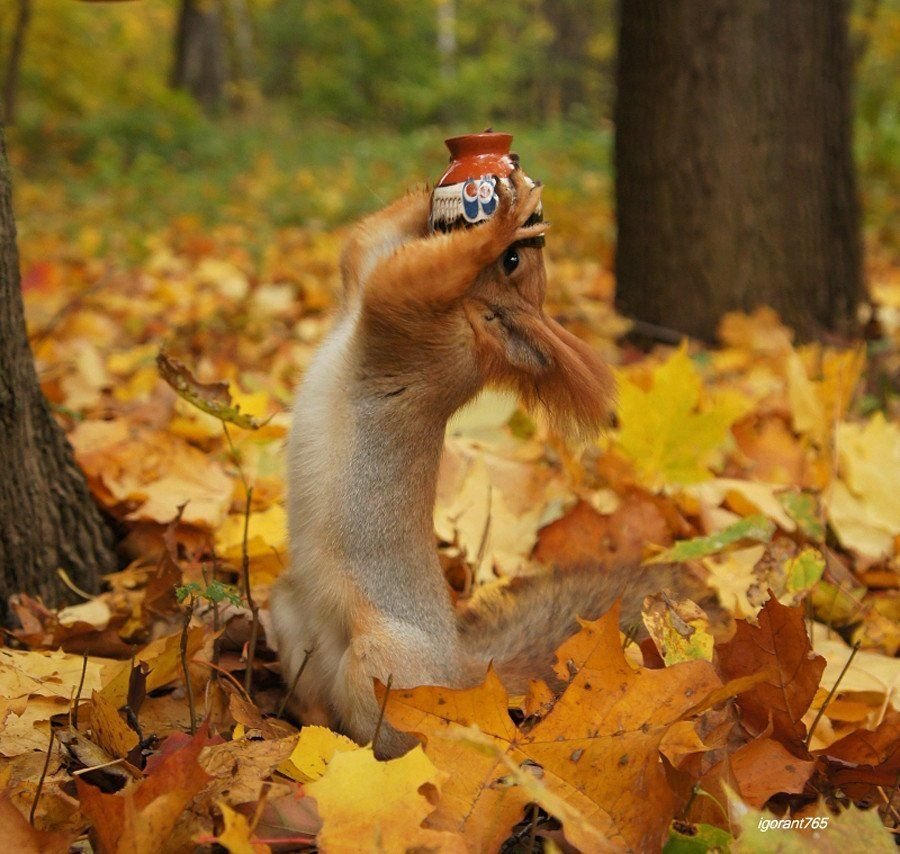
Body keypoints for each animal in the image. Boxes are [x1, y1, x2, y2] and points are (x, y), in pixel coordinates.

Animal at [270, 171, 708, 760]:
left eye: (511, 263)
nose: (525, 227)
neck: (471, 322)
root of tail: (462, 678)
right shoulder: (369, 273)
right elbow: (361, 241)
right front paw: (456, 188)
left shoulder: (407, 316)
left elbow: (419, 274)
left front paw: (495, 221)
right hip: (287, 612)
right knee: (313, 698)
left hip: (379, 667)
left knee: (395, 734)